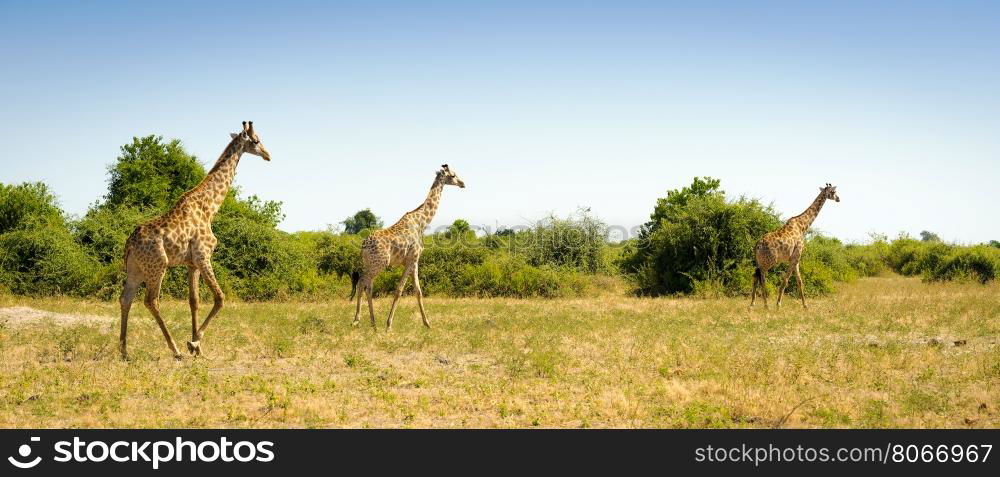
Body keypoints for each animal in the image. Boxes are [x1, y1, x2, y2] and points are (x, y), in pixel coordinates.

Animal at [117, 121, 272, 358]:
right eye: (256, 141)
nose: (267, 155)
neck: (209, 208)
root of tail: (129, 245)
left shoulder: (191, 263)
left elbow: (194, 301)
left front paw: (197, 348)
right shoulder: (203, 255)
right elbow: (219, 298)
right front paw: (194, 343)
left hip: (136, 269)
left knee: (126, 299)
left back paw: (125, 352)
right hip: (158, 266)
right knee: (151, 300)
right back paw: (175, 350)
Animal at [354, 165, 466, 330]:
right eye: (452, 175)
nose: (462, 183)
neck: (421, 223)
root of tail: (364, 246)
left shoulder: (414, 261)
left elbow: (418, 290)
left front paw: (427, 323)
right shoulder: (411, 259)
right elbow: (399, 290)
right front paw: (389, 325)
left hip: (370, 263)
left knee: (368, 286)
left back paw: (373, 324)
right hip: (379, 264)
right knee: (362, 282)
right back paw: (357, 320)